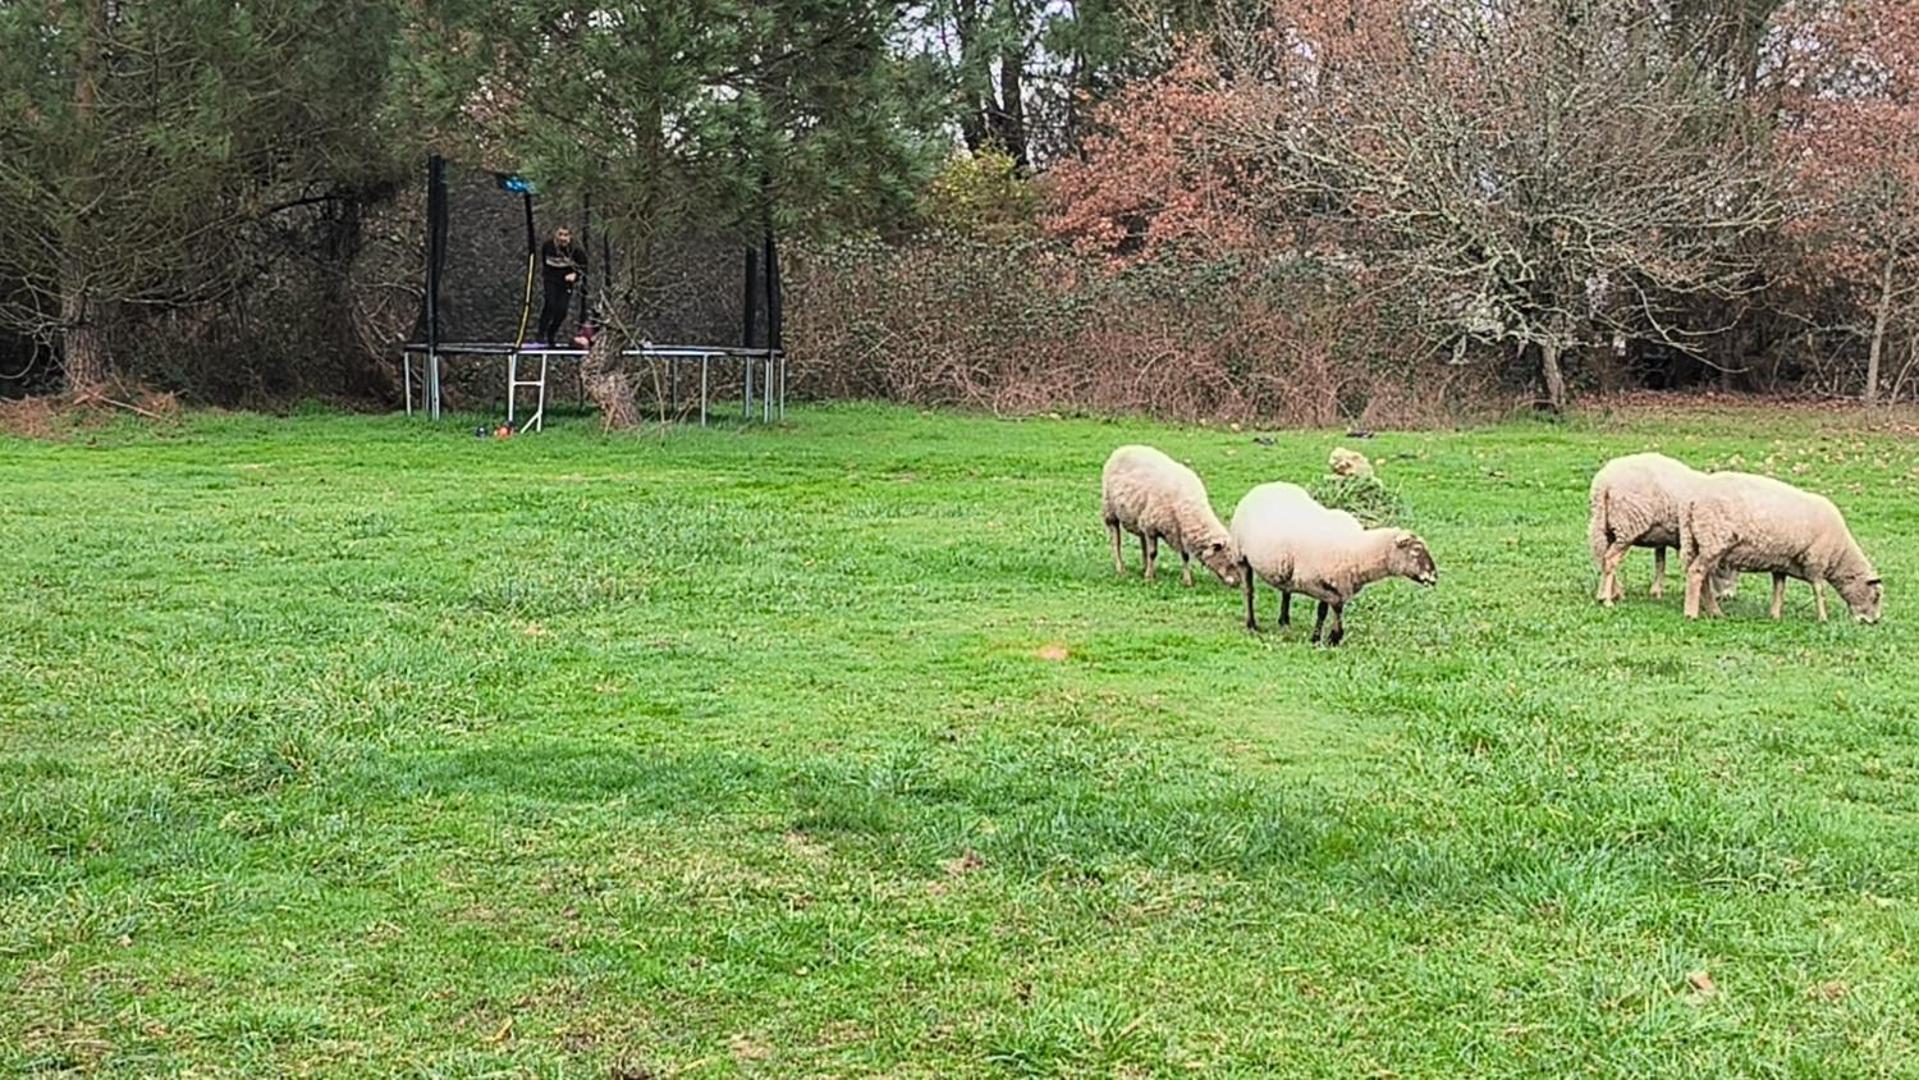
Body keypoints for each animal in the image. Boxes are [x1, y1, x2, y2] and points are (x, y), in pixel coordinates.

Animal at [1097, 443, 1243, 586]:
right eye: (1227, 559)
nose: (1237, 583)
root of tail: (1124, 448)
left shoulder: (1179, 533)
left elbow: (1185, 556)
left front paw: (1187, 580)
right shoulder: (1151, 528)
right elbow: (1153, 553)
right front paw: (1149, 577)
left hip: (1139, 516)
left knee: (1142, 540)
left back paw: (1144, 567)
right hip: (1110, 511)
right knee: (1116, 542)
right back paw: (1121, 569)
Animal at [1235, 483, 1435, 652]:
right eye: (1416, 550)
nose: (1434, 576)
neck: (1357, 551)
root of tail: (1265, 485)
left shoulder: (1332, 581)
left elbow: (1330, 609)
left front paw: (1330, 637)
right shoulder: (1313, 582)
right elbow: (1331, 608)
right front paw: (1326, 637)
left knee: (1286, 591)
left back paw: (1284, 621)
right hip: (1241, 557)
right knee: (1248, 591)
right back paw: (1251, 623)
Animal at [1588, 454, 1742, 610]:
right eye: (1723, 567)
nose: (1729, 596)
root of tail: (1604, 483)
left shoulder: (1661, 537)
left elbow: (1660, 562)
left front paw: (1656, 591)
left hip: (1605, 524)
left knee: (1602, 556)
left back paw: (1607, 593)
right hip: (1627, 526)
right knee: (1609, 560)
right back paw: (1608, 599)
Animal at [1688, 475, 1880, 625]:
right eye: (1877, 596)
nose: (1874, 622)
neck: (1839, 555)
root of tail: (1694, 501)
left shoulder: (1781, 563)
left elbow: (1779, 588)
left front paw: (1775, 615)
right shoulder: (1816, 562)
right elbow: (1819, 591)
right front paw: (1823, 618)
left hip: (1699, 544)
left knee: (1702, 578)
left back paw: (1713, 612)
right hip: (1713, 541)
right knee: (1696, 573)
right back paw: (1692, 614)